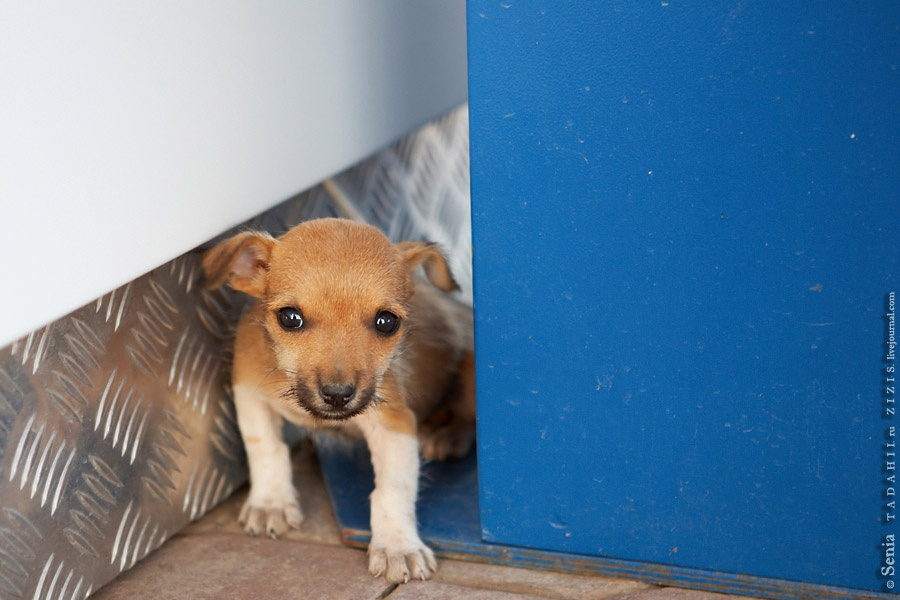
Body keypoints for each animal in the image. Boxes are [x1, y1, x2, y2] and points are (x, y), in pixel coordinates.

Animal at [200, 218, 474, 584]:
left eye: (387, 322)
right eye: (290, 317)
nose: (337, 395)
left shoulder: (393, 423)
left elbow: (392, 489)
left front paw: (397, 546)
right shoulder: (249, 394)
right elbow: (267, 450)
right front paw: (271, 503)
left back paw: (447, 434)